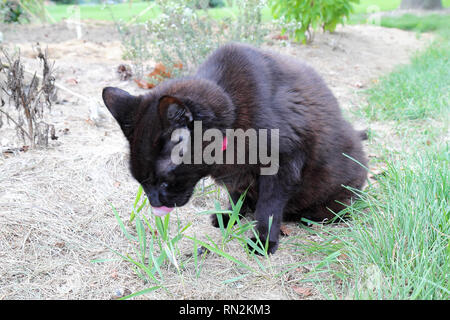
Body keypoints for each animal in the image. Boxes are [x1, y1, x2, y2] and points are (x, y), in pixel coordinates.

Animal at [103, 42, 370, 254]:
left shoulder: (283, 166)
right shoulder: (237, 175)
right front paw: (230, 217)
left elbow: (269, 207)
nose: (155, 204)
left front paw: (263, 240)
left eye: (164, 182)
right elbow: (235, 196)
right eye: (141, 183)